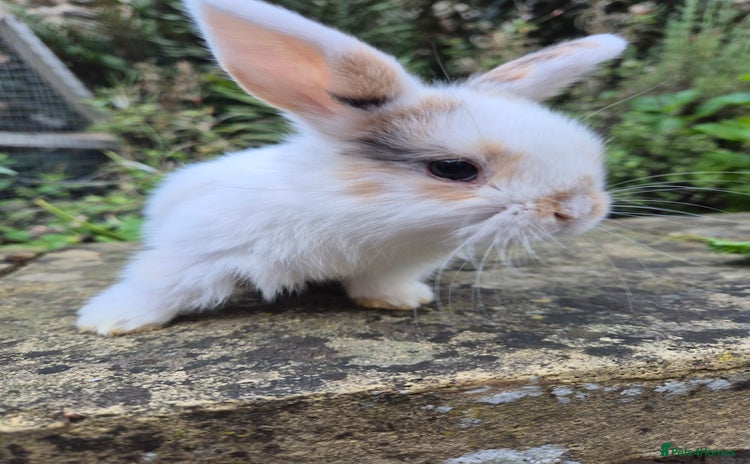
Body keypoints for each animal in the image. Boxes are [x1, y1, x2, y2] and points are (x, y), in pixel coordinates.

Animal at [76, 0, 627, 335]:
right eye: (453, 169)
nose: (581, 210)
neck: (360, 214)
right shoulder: (198, 249)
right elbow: (160, 284)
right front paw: (110, 321)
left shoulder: (390, 262)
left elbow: (378, 285)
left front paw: (401, 301)